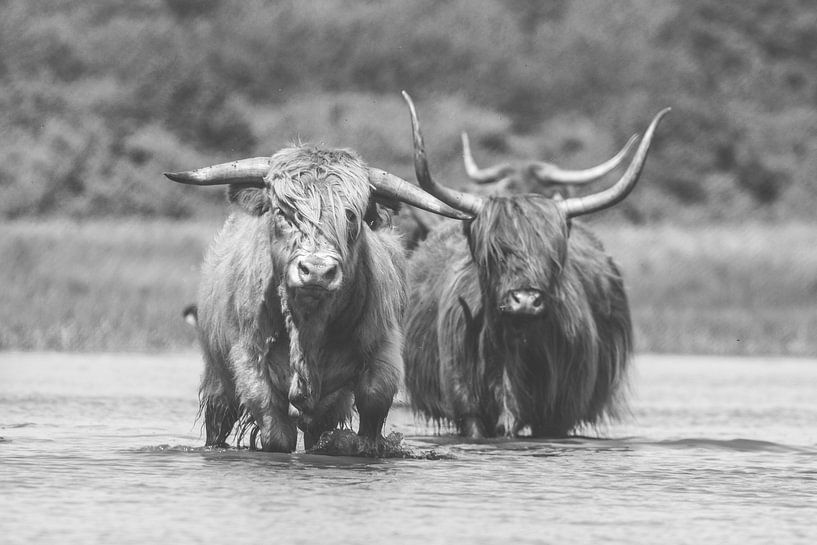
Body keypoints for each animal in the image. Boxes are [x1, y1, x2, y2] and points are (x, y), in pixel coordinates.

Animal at [164, 141, 466, 450]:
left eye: (350, 215)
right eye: (283, 212)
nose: (317, 270)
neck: (309, 325)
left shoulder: (382, 349)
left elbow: (374, 401)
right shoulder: (249, 357)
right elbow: (274, 427)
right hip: (218, 377)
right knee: (219, 418)